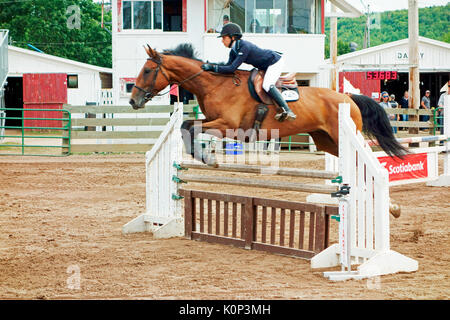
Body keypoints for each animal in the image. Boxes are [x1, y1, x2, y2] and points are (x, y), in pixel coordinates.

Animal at [130, 43, 408, 165]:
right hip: (326, 140)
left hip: (343, 135)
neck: (215, 84)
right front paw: (204, 156)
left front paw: (207, 157)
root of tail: (347, 97)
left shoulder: (228, 125)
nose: (133, 100)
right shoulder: (212, 120)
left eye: (147, 70)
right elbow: (186, 125)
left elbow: (190, 127)